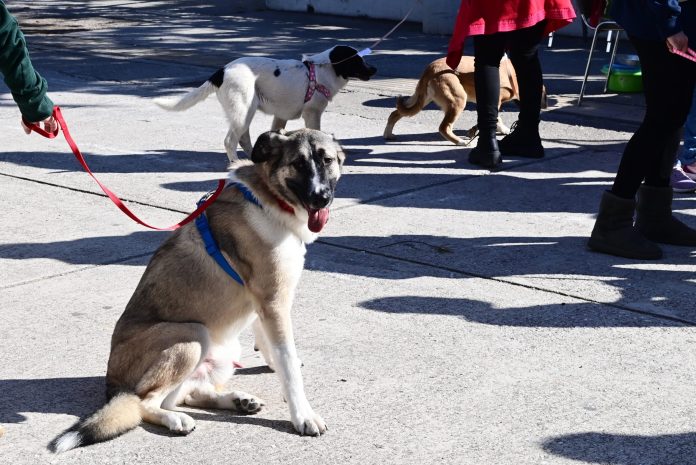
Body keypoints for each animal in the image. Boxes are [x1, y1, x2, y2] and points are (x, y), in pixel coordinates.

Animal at [53, 129, 346, 452]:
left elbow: (275, 350)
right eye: (298, 163)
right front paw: (303, 415)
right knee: (146, 402)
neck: (269, 199)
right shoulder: (273, 301)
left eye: (327, 160)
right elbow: (289, 366)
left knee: (186, 394)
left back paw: (237, 400)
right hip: (191, 336)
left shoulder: (264, 304)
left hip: (223, 352)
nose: (321, 197)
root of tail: (113, 386)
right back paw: (175, 419)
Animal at [156, 45, 378, 161]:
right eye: (357, 60)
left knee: (243, 139)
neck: (324, 69)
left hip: (245, 112)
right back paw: (235, 163)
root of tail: (221, 72)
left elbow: (277, 135)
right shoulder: (312, 114)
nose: (374, 69)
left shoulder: (280, 116)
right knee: (230, 141)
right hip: (243, 110)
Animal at [384, 57, 548, 145]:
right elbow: (494, 118)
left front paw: (502, 129)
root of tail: (431, 69)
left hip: (420, 99)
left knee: (395, 113)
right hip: (458, 101)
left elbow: (496, 118)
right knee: (444, 127)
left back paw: (388, 134)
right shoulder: (495, 101)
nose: (544, 107)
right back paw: (459, 142)